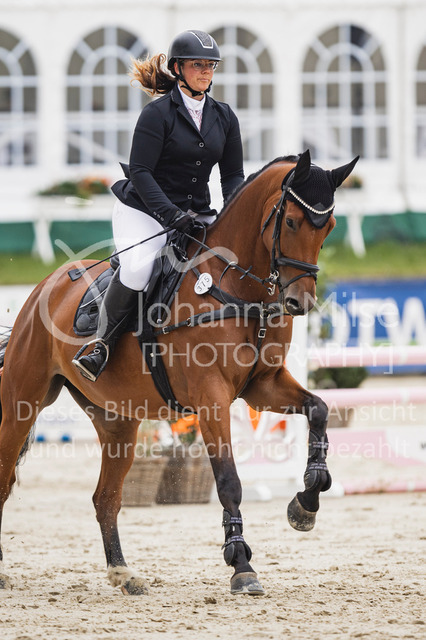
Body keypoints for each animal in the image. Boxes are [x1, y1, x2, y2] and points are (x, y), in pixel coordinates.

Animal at [0, 149, 358, 596]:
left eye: (328, 226)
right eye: (291, 221)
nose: (300, 301)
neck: (239, 291)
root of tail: (42, 289)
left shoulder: (263, 387)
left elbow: (320, 409)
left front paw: (306, 503)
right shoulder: (211, 398)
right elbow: (229, 480)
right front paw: (241, 565)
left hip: (117, 421)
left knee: (106, 497)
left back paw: (123, 573)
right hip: (21, 404)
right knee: (5, 479)